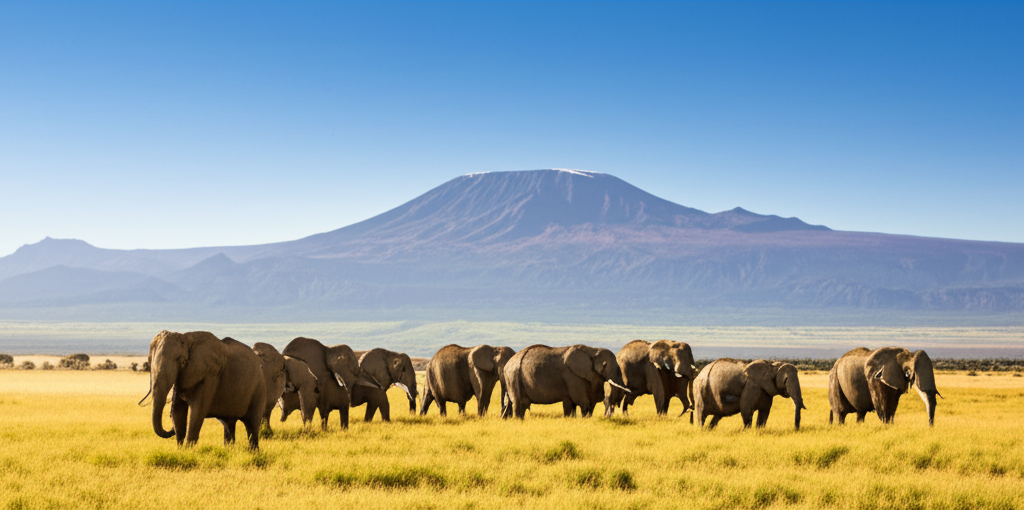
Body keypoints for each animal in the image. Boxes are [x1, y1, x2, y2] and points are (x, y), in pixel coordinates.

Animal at [501, 344, 630, 420]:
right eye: (605, 365)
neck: (592, 351)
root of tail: (508, 363)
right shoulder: (572, 377)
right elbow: (582, 402)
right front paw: (583, 419)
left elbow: (576, 404)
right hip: (513, 376)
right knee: (518, 403)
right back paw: (518, 420)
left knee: (515, 403)